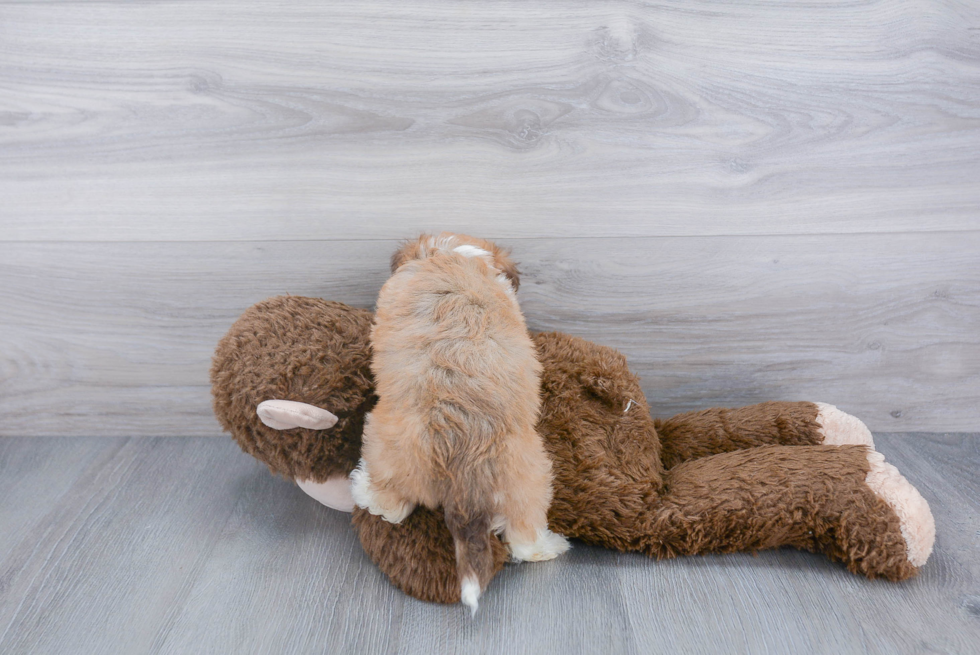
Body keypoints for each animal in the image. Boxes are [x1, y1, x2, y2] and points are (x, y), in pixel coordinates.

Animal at [350, 233, 568, 612]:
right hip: (531, 475)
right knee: (525, 535)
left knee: (390, 507)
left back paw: (363, 489)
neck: (452, 254)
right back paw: (548, 546)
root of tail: (466, 462)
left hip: (383, 442)